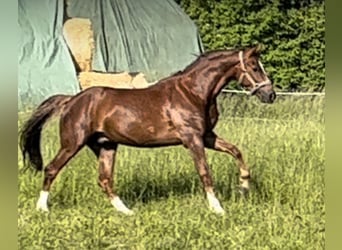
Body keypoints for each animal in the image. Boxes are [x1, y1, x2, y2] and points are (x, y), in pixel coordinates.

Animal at [19, 45, 276, 215]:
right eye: (254, 67)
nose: (270, 95)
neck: (193, 92)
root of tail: (71, 100)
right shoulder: (192, 139)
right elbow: (205, 171)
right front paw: (217, 208)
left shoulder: (207, 137)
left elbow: (236, 151)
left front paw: (244, 187)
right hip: (72, 143)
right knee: (52, 169)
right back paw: (42, 209)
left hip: (106, 145)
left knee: (104, 179)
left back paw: (126, 211)